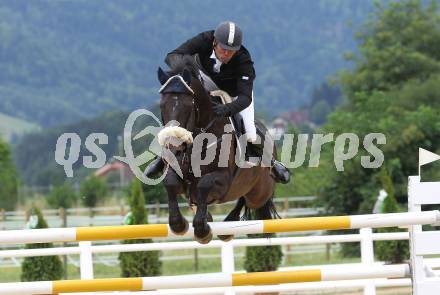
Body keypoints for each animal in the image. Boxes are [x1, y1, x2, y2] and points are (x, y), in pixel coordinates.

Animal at [156, 59, 276, 245]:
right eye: (162, 105)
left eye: (188, 105)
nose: (173, 148)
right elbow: (170, 181)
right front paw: (179, 224)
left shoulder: (223, 181)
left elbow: (204, 184)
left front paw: (202, 230)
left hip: (259, 194)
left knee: (249, 200)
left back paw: (227, 227)